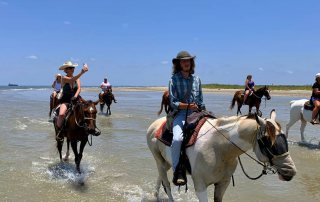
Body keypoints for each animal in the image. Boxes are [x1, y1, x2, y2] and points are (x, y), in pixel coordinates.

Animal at [146, 110, 296, 202]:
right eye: (268, 142)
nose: (291, 171)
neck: (218, 148)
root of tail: (154, 125)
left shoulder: (223, 183)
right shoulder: (200, 186)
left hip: (167, 162)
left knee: (161, 177)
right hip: (158, 160)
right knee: (166, 183)